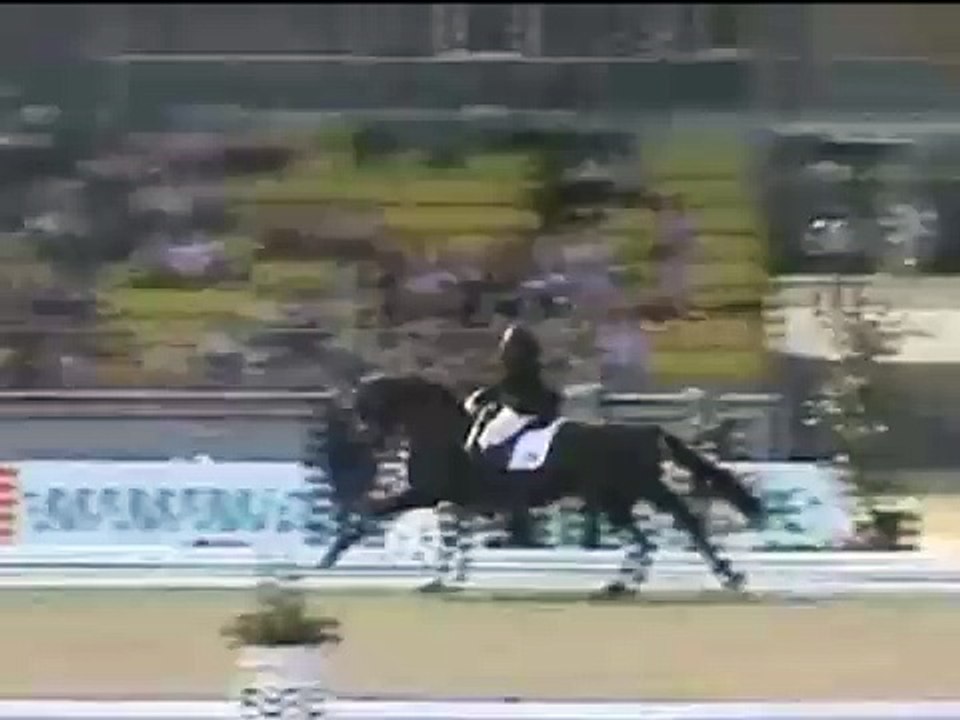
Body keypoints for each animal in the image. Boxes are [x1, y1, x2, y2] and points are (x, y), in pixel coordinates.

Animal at [320, 374, 766, 597]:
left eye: (366, 406)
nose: (367, 442)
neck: (442, 432)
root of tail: (646, 431)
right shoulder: (454, 502)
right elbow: (454, 540)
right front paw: (446, 579)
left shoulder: (426, 494)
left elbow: (370, 512)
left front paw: (330, 555)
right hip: (625, 495)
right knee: (666, 530)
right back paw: (634, 583)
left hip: (621, 494)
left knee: (672, 528)